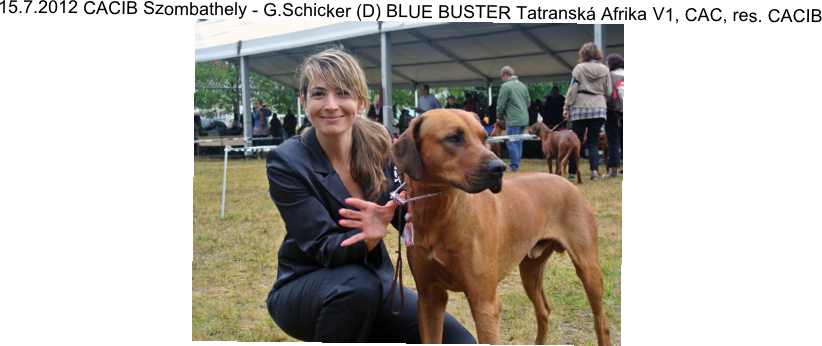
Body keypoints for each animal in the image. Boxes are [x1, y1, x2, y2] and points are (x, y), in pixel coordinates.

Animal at [392, 109, 612, 344]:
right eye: (454, 138)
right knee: (543, 309)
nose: (500, 168)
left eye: (484, 138)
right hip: (530, 269)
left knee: (601, 322)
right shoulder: (429, 298)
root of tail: (566, 182)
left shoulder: (484, 304)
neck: (438, 212)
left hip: (588, 267)